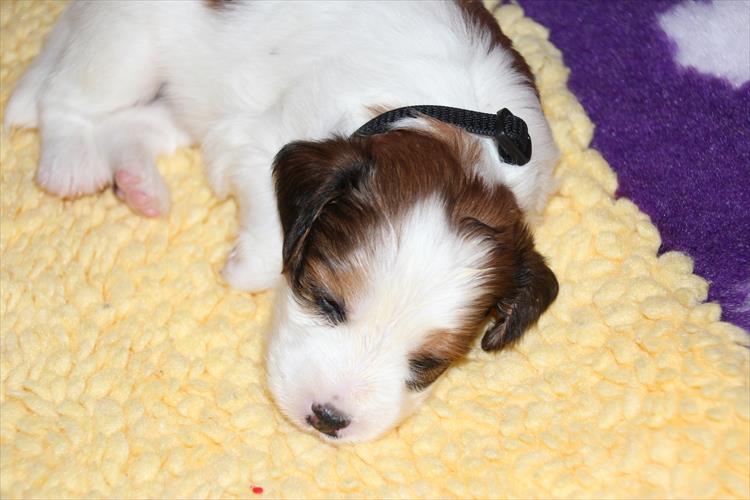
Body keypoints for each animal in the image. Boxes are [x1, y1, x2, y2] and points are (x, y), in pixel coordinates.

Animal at [5, 0, 559, 442]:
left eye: (429, 363)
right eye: (326, 301)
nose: (329, 419)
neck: (460, 132)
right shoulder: (254, 141)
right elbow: (268, 248)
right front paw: (241, 265)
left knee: (133, 124)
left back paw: (138, 183)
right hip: (127, 47)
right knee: (68, 98)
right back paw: (70, 163)